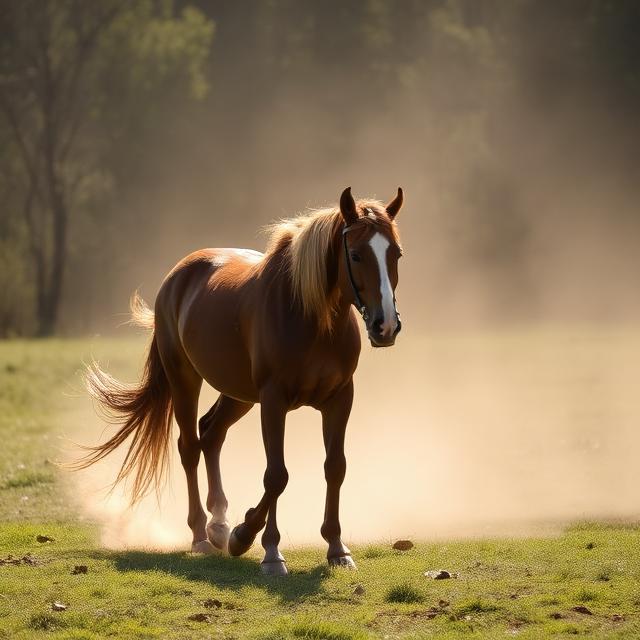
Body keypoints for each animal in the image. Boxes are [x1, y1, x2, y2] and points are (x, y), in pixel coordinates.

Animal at [76, 186, 404, 575]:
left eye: (396, 253)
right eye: (355, 254)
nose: (385, 326)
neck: (310, 318)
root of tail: (178, 276)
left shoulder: (340, 399)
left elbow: (335, 467)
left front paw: (336, 548)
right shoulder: (274, 401)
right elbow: (276, 475)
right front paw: (258, 544)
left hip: (239, 394)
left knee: (211, 433)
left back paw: (219, 523)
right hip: (185, 379)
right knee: (190, 447)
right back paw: (202, 535)